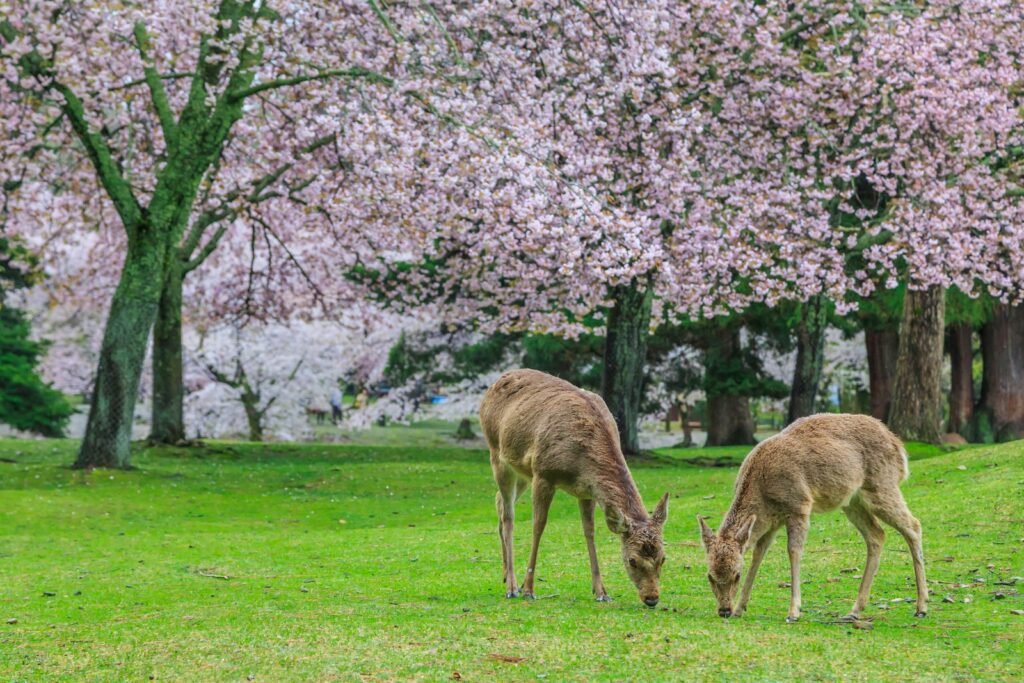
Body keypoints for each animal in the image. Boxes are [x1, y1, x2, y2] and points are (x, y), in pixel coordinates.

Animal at [481, 370, 671, 606]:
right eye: (632, 560)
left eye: (663, 558)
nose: (652, 598)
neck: (581, 465)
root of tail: (495, 382)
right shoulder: (543, 474)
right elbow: (538, 526)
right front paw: (529, 589)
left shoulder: (586, 491)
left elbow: (589, 531)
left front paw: (601, 591)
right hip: (497, 454)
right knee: (508, 516)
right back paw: (512, 587)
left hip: (522, 470)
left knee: (498, 501)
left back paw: (505, 575)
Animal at [696, 413, 929, 622]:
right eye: (710, 575)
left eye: (736, 574)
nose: (724, 610)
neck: (762, 493)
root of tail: (899, 448)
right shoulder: (770, 521)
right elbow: (758, 555)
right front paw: (740, 608)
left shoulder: (799, 505)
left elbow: (793, 551)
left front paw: (793, 612)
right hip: (852, 501)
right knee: (877, 534)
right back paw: (854, 610)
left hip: (882, 485)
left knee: (914, 525)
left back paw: (921, 607)